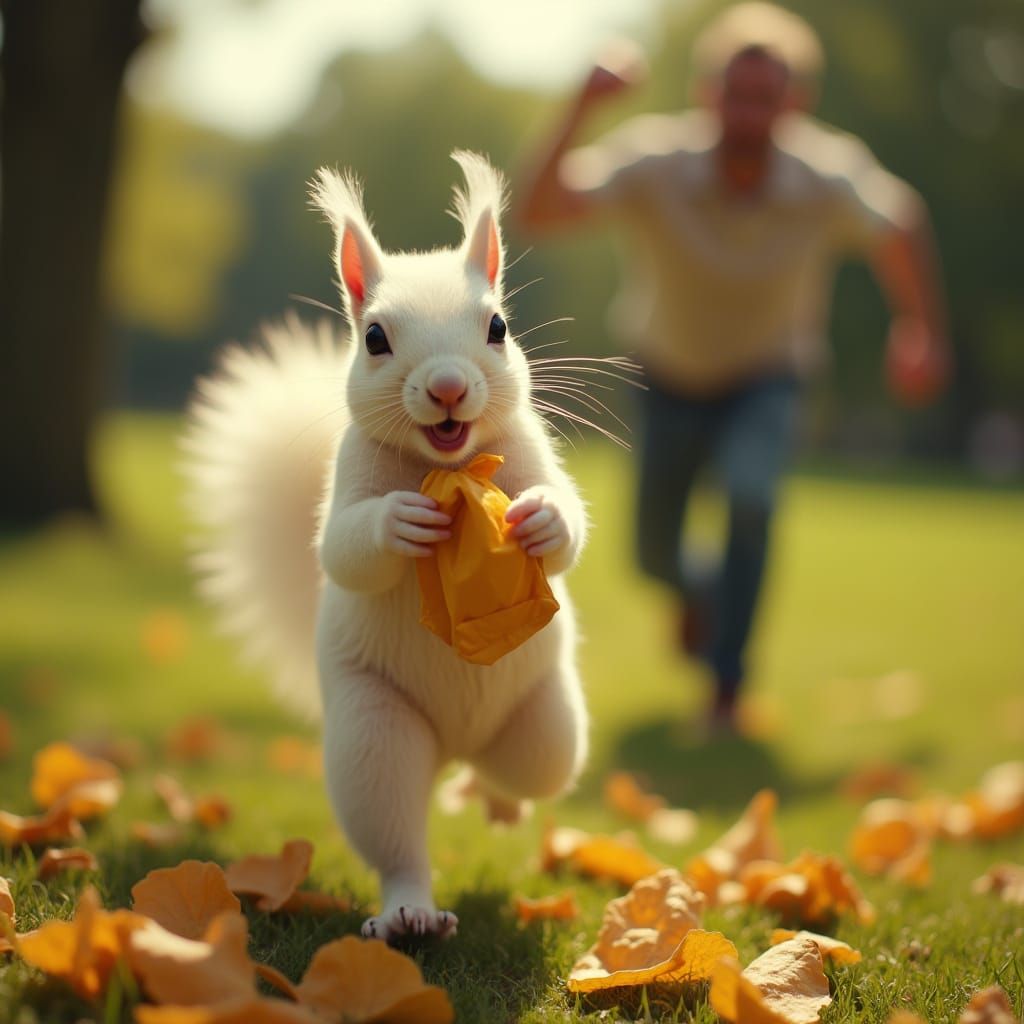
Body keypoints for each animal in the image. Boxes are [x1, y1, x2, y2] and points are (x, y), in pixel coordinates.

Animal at [183, 152, 590, 942]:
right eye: (374, 338)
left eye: (497, 327)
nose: (448, 386)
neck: (450, 465)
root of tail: (451, 748)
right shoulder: (349, 481)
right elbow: (341, 548)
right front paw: (399, 523)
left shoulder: (534, 453)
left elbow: (571, 525)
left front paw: (543, 520)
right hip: (376, 738)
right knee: (398, 839)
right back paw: (411, 913)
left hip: (545, 730)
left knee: (521, 774)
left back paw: (492, 801)